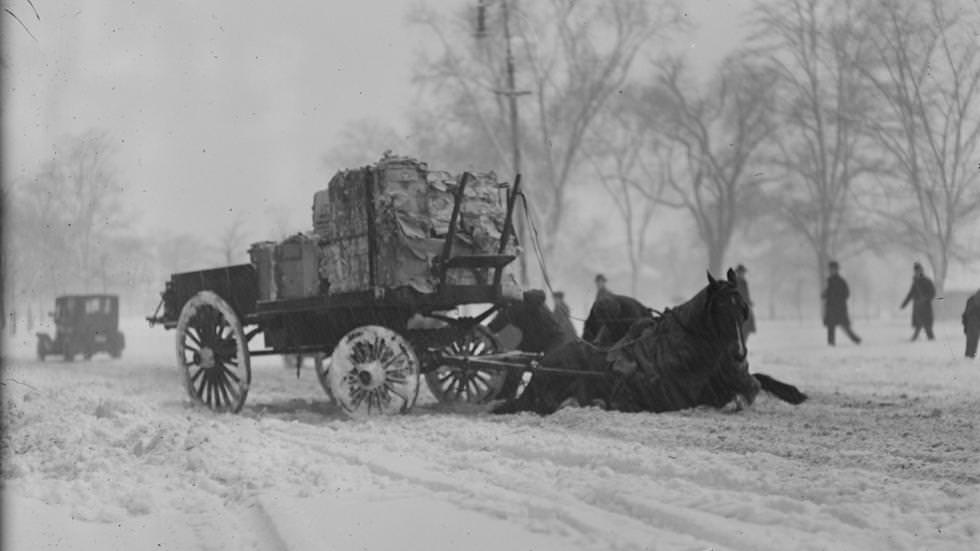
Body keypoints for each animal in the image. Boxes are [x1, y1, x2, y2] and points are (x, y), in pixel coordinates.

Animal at [494, 270, 808, 416]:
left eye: (742, 307)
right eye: (720, 308)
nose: (739, 353)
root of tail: (544, 363)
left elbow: (756, 383)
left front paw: (792, 393)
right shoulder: (681, 397)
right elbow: (737, 395)